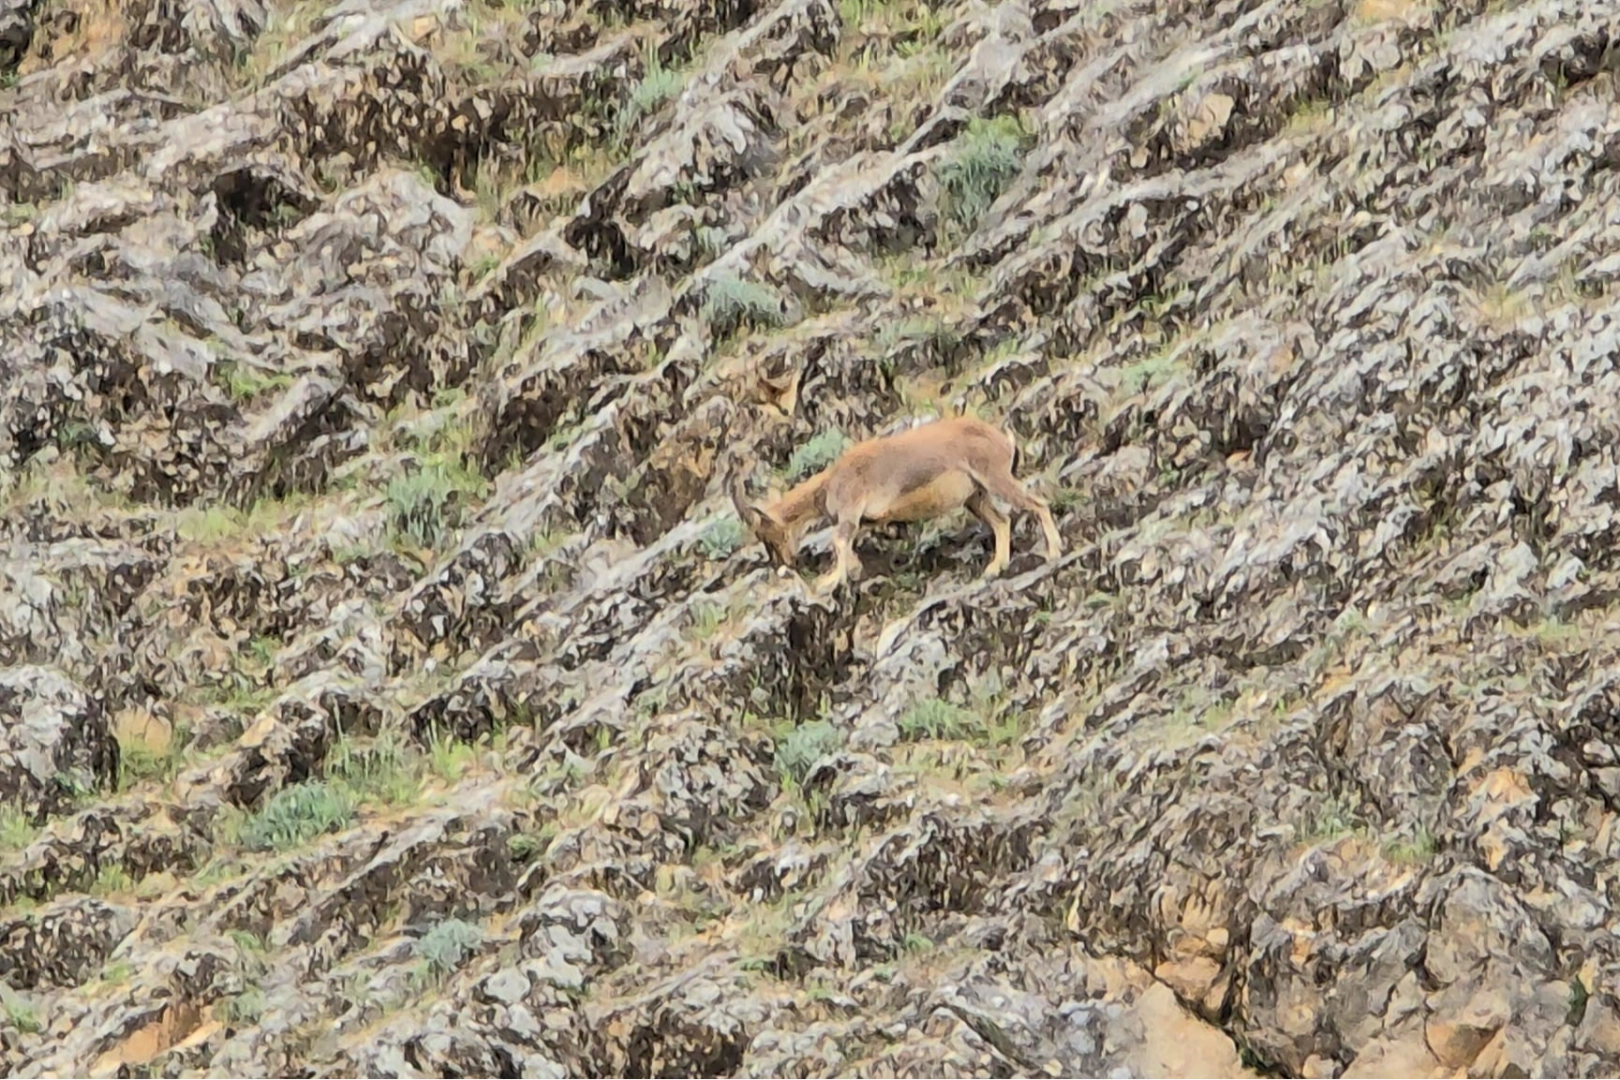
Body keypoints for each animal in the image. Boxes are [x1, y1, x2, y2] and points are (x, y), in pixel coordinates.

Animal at [732, 417, 1062, 599]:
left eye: (768, 534)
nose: (783, 565)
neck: (830, 482)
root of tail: (1002, 439)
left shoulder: (850, 510)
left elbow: (838, 540)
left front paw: (830, 582)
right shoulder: (866, 520)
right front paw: (853, 571)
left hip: (995, 479)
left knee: (1037, 504)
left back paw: (1054, 552)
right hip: (976, 497)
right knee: (1002, 521)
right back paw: (996, 567)